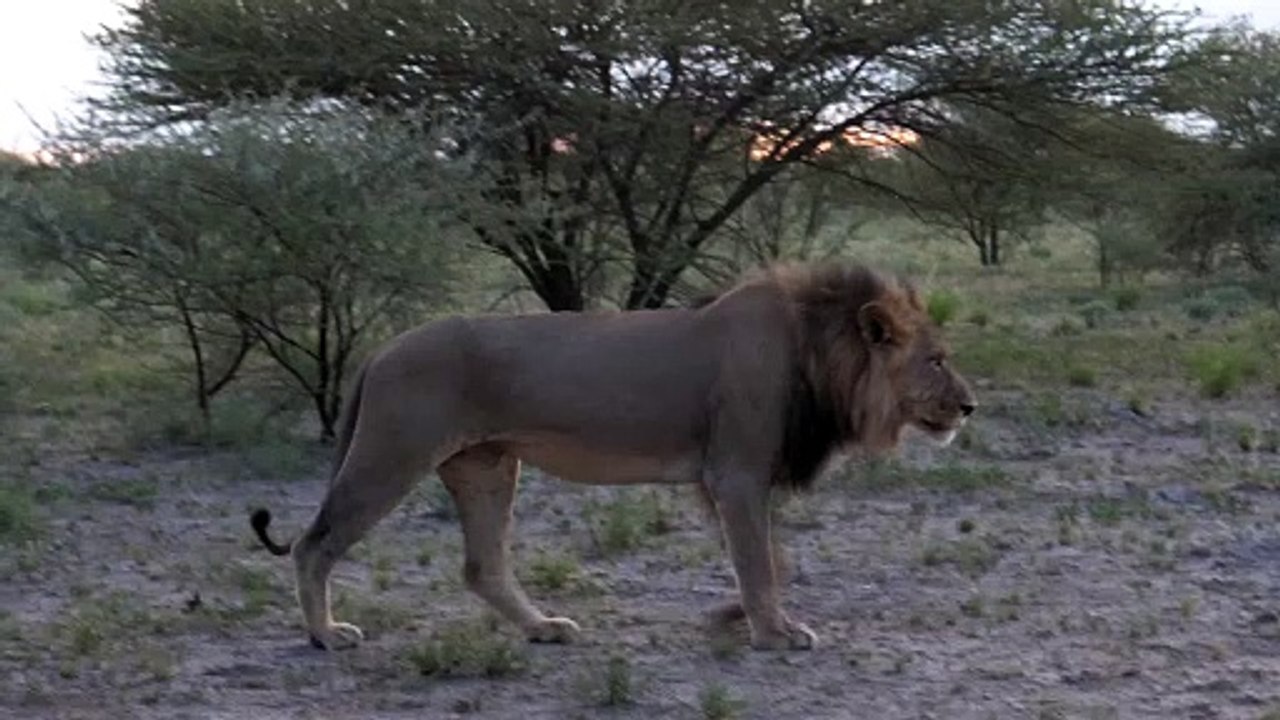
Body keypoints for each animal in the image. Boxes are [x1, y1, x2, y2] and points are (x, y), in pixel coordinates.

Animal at [250, 261, 976, 652]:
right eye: (937, 360)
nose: (970, 406)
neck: (819, 355)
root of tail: (381, 348)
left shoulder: (720, 480)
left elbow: (771, 560)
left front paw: (730, 616)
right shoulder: (736, 473)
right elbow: (760, 563)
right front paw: (774, 634)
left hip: (487, 466)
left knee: (483, 566)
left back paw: (543, 627)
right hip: (392, 453)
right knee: (314, 544)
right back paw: (326, 634)